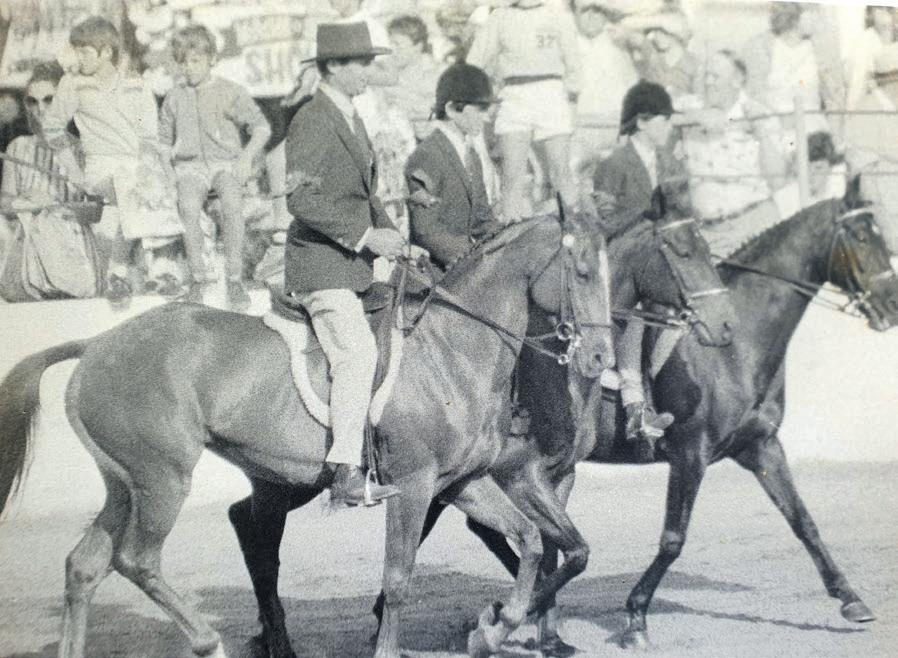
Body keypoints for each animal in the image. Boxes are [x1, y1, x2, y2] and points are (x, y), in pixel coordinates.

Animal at [0, 213, 614, 658]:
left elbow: (531, 542)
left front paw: (494, 628)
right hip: (163, 479)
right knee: (139, 561)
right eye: (582, 272)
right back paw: (210, 641)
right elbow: (399, 579)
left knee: (85, 565)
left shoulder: (461, 482)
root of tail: (97, 344)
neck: (450, 349)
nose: (601, 359)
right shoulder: (415, 486)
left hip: (126, 484)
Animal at [224, 194, 739, 658]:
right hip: (291, 476)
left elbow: (567, 551)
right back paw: (276, 639)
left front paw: (539, 633)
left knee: (246, 524)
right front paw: (497, 621)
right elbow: (529, 549)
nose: (725, 325)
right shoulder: (515, 473)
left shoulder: (549, 475)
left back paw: (269, 636)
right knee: (259, 538)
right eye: (684, 252)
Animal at [412, 183, 898, 655]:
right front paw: (635, 617)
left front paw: (850, 599)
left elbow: (803, 522)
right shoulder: (689, 453)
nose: (891, 303)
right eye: (861, 238)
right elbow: (672, 540)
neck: (733, 354)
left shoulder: (760, 446)